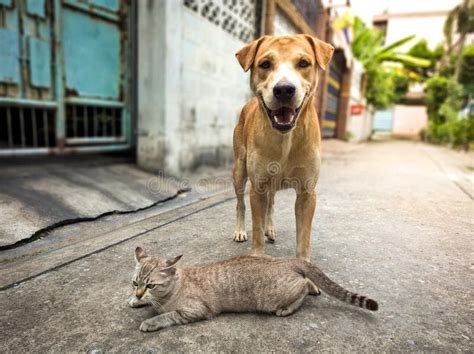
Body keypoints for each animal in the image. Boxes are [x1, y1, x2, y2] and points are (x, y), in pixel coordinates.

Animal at [127, 246, 378, 332]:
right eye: (135, 283)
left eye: (151, 285)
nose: (138, 292)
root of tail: (287, 260)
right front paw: (136, 301)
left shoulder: (195, 311)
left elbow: (167, 316)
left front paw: (150, 321)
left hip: (272, 298)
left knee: (304, 287)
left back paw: (288, 308)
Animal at [232, 34, 334, 262]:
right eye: (265, 64)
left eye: (304, 63)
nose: (284, 89)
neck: (285, 138)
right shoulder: (257, 187)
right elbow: (256, 231)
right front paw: (258, 258)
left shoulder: (307, 192)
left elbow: (303, 238)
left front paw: (304, 263)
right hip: (239, 169)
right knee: (240, 203)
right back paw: (240, 230)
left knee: (271, 203)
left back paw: (270, 227)